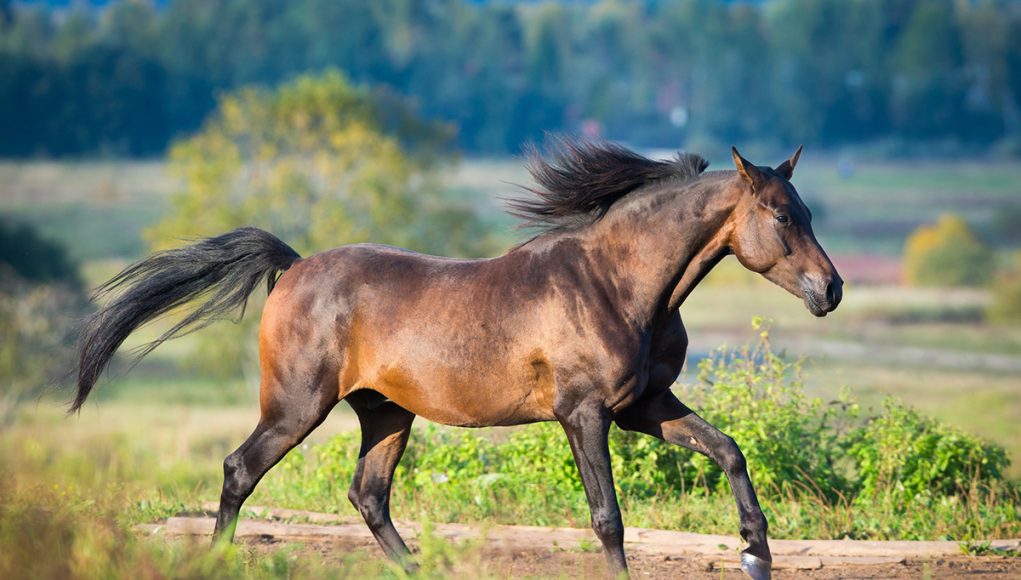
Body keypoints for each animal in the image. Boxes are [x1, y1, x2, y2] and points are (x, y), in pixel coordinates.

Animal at [69, 137, 837, 575]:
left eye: (805, 209)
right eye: (779, 213)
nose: (829, 289)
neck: (618, 283)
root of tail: (292, 267)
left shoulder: (645, 406)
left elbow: (729, 450)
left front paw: (755, 551)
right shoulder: (584, 414)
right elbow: (606, 517)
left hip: (385, 413)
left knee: (368, 495)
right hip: (296, 406)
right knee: (239, 471)